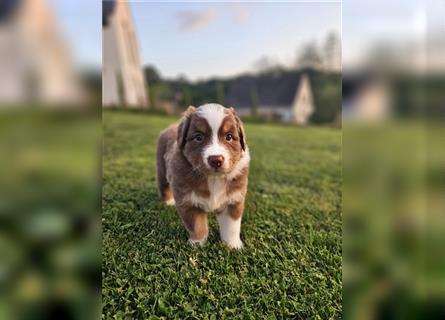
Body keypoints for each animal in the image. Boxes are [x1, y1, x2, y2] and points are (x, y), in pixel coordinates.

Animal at [155, 104, 250, 249]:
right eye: (198, 137)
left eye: (229, 137)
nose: (216, 160)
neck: (213, 179)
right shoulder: (188, 201)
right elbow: (197, 225)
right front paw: (197, 244)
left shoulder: (233, 200)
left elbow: (231, 227)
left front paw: (233, 246)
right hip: (162, 170)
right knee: (164, 186)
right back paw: (169, 202)